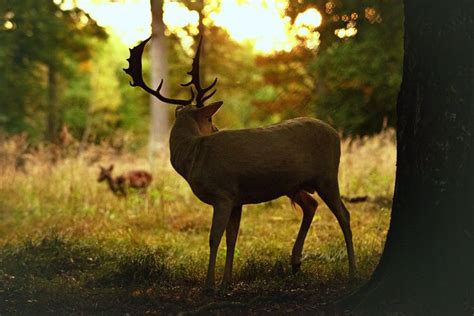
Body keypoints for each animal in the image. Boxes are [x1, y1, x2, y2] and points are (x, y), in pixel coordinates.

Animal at [124, 37, 354, 288]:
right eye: (210, 119)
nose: (215, 128)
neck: (193, 156)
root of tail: (336, 134)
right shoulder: (236, 199)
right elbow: (231, 237)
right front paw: (227, 281)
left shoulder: (223, 193)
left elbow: (214, 238)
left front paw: (209, 285)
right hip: (293, 185)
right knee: (311, 205)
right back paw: (295, 263)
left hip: (327, 176)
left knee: (344, 214)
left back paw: (352, 270)